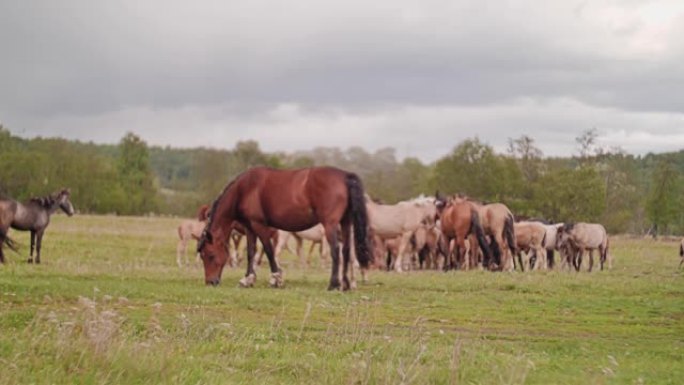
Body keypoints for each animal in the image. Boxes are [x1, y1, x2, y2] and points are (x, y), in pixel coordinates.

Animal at [195, 166, 372, 290]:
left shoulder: (259, 225)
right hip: (345, 222)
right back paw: (346, 284)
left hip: (330, 225)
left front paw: (276, 279)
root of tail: (345, 176)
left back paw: (334, 284)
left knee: (335, 250)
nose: (210, 282)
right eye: (202, 256)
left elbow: (268, 251)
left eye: (210, 255)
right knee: (346, 250)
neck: (245, 189)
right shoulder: (249, 227)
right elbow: (251, 252)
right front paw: (248, 279)